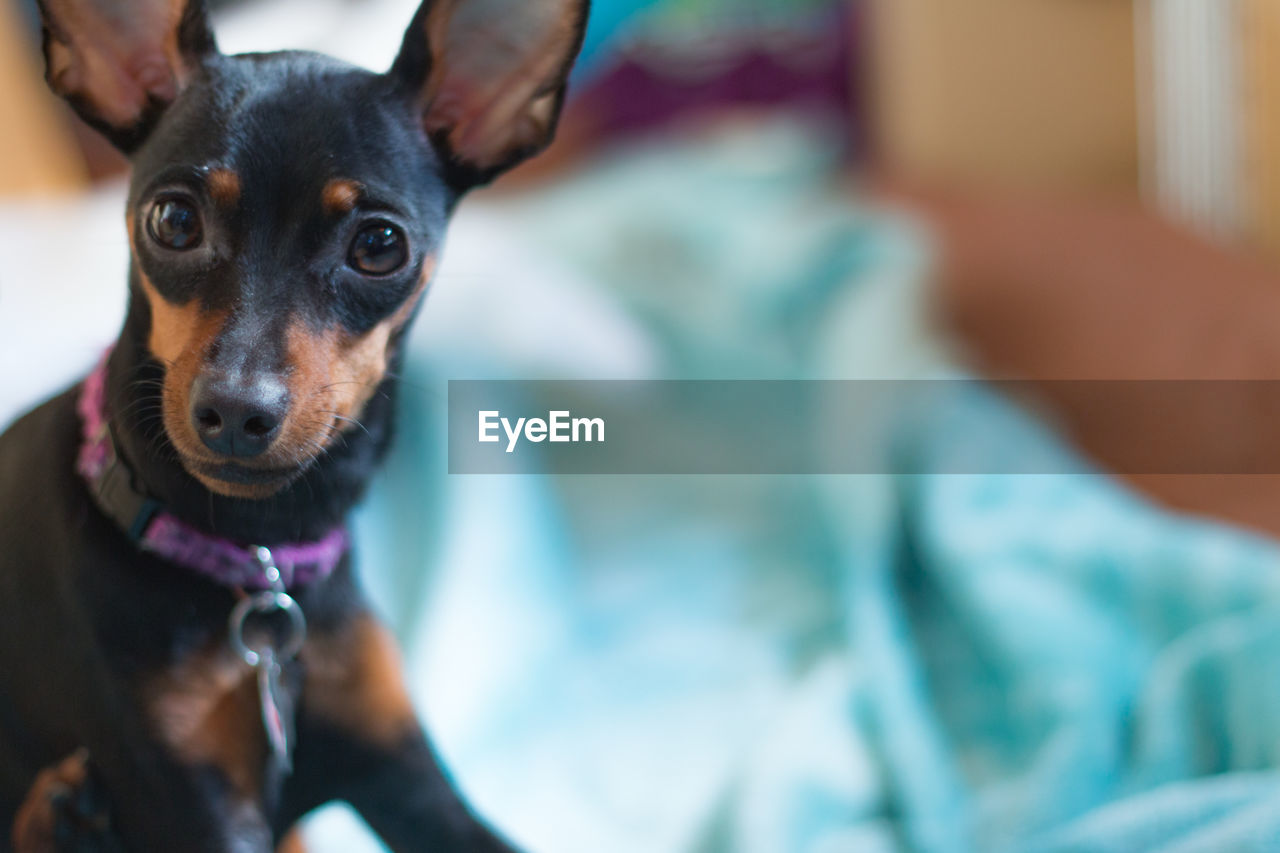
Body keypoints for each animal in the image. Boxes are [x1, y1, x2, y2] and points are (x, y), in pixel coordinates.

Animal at [0, 1, 588, 845]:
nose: (236, 410)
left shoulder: (405, 775)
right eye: (172, 220)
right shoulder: (196, 801)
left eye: (379, 244)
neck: (260, 556)